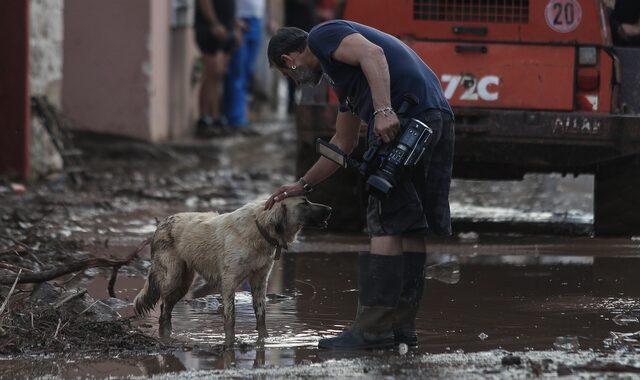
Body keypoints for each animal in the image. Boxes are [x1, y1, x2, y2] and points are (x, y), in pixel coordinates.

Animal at [133, 197, 332, 346]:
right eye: (304, 203)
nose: (330, 209)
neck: (259, 230)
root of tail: (161, 223)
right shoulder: (229, 282)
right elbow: (230, 318)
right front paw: (231, 343)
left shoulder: (259, 282)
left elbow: (261, 316)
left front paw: (264, 340)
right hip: (173, 278)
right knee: (163, 309)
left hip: (184, 283)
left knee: (166, 310)